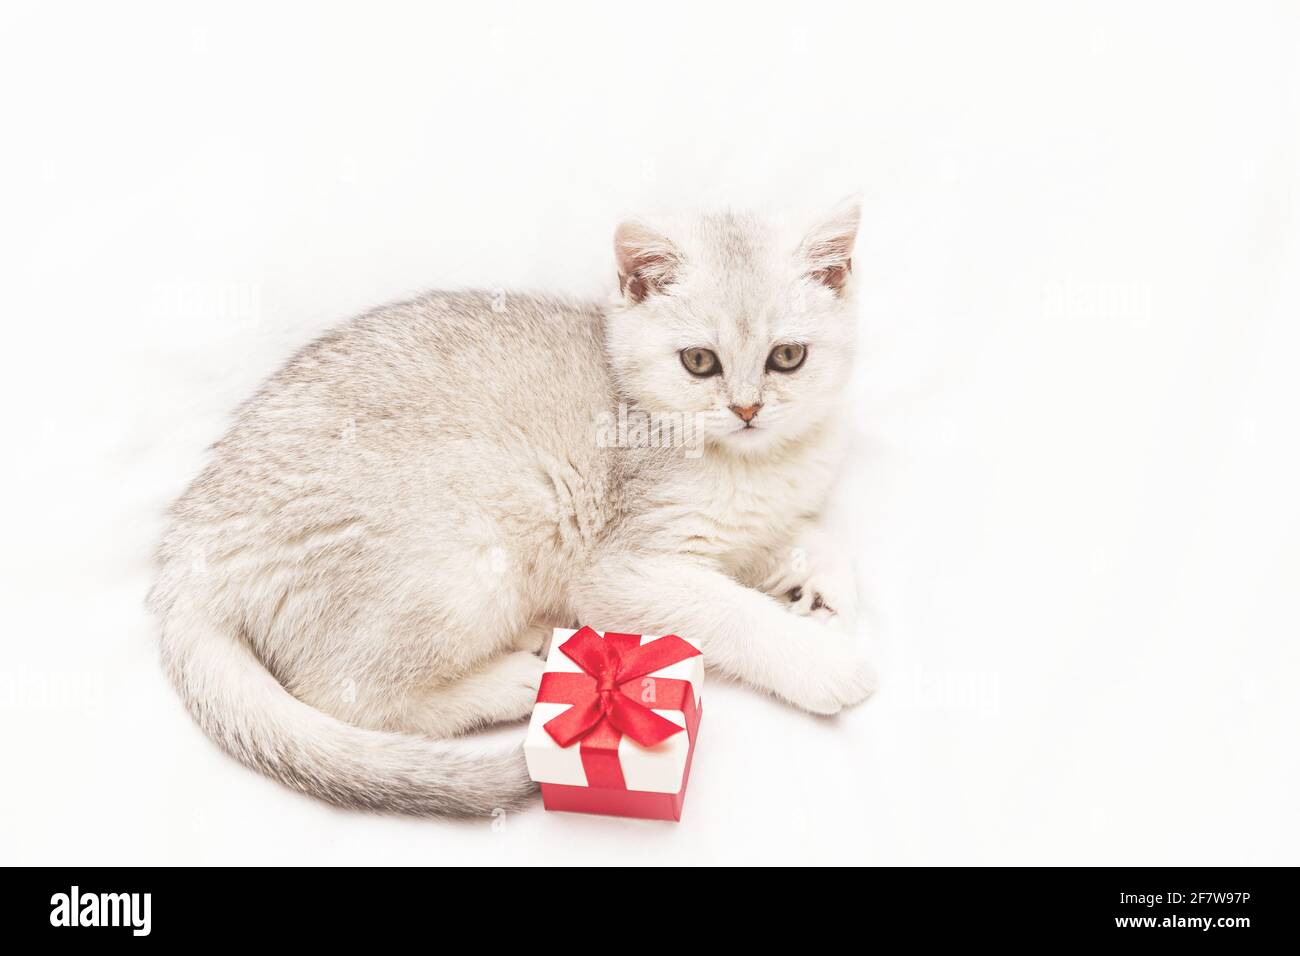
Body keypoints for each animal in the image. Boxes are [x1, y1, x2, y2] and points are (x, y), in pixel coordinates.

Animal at [149, 201, 873, 816]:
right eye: (699, 362)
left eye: (788, 357)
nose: (747, 409)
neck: (757, 464)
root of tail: (188, 546)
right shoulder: (624, 570)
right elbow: (733, 612)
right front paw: (824, 662)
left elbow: (810, 538)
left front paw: (822, 588)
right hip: (474, 541)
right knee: (345, 694)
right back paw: (510, 683)